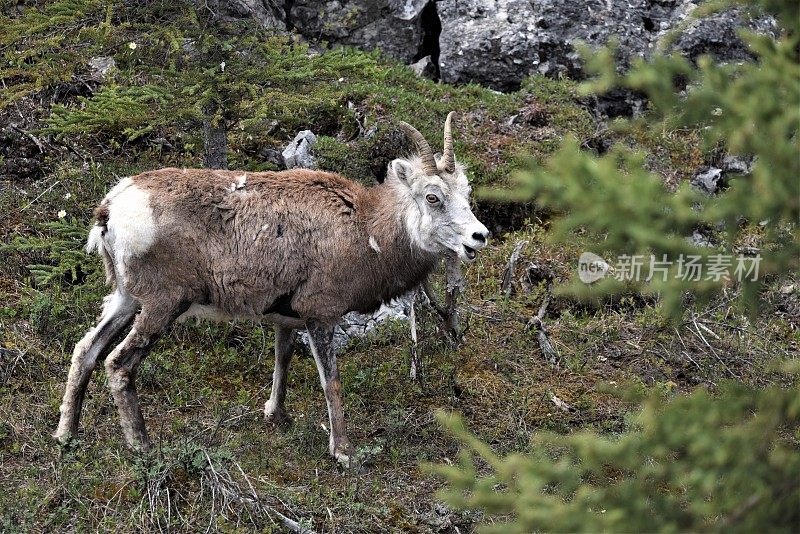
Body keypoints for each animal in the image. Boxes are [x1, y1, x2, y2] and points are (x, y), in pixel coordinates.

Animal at [54, 115, 488, 466]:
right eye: (432, 197)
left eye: (467, 194)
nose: (478, 237)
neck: (366, 233)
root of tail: (111, 209)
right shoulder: (320, 314)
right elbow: (330, 382)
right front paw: (343, 452)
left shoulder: (287, 317)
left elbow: (282, 361)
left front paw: (277, 416)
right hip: (163, 303)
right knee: (119, 364)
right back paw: (143, 447)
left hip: (126, 298)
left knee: (85, 350)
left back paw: (66, 435)